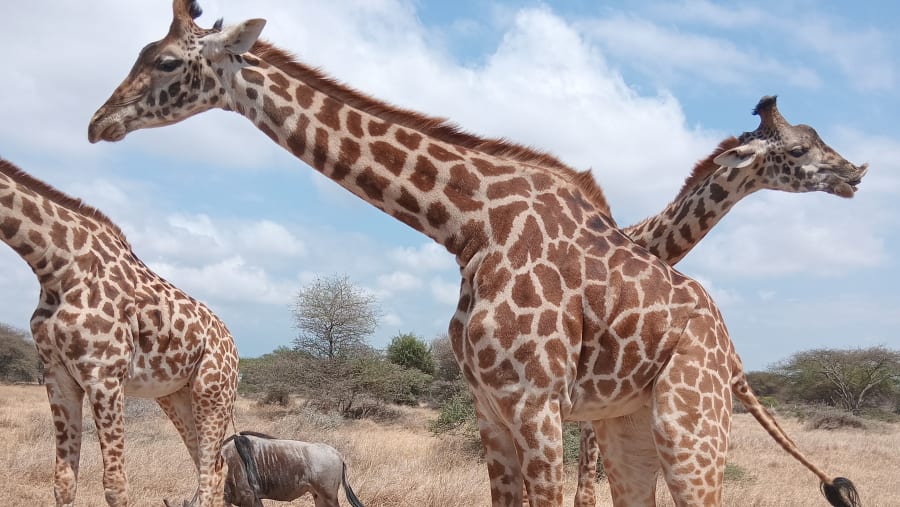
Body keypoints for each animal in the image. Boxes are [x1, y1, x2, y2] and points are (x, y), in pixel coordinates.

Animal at [0, 158, 239, 507]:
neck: (55, 266)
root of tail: (233, 346)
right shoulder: (57, 377)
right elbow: (63, 481)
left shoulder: (104, 375)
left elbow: (115, 484)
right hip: (175, 395)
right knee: (213, 467)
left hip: (213, 391)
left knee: (211, 471)